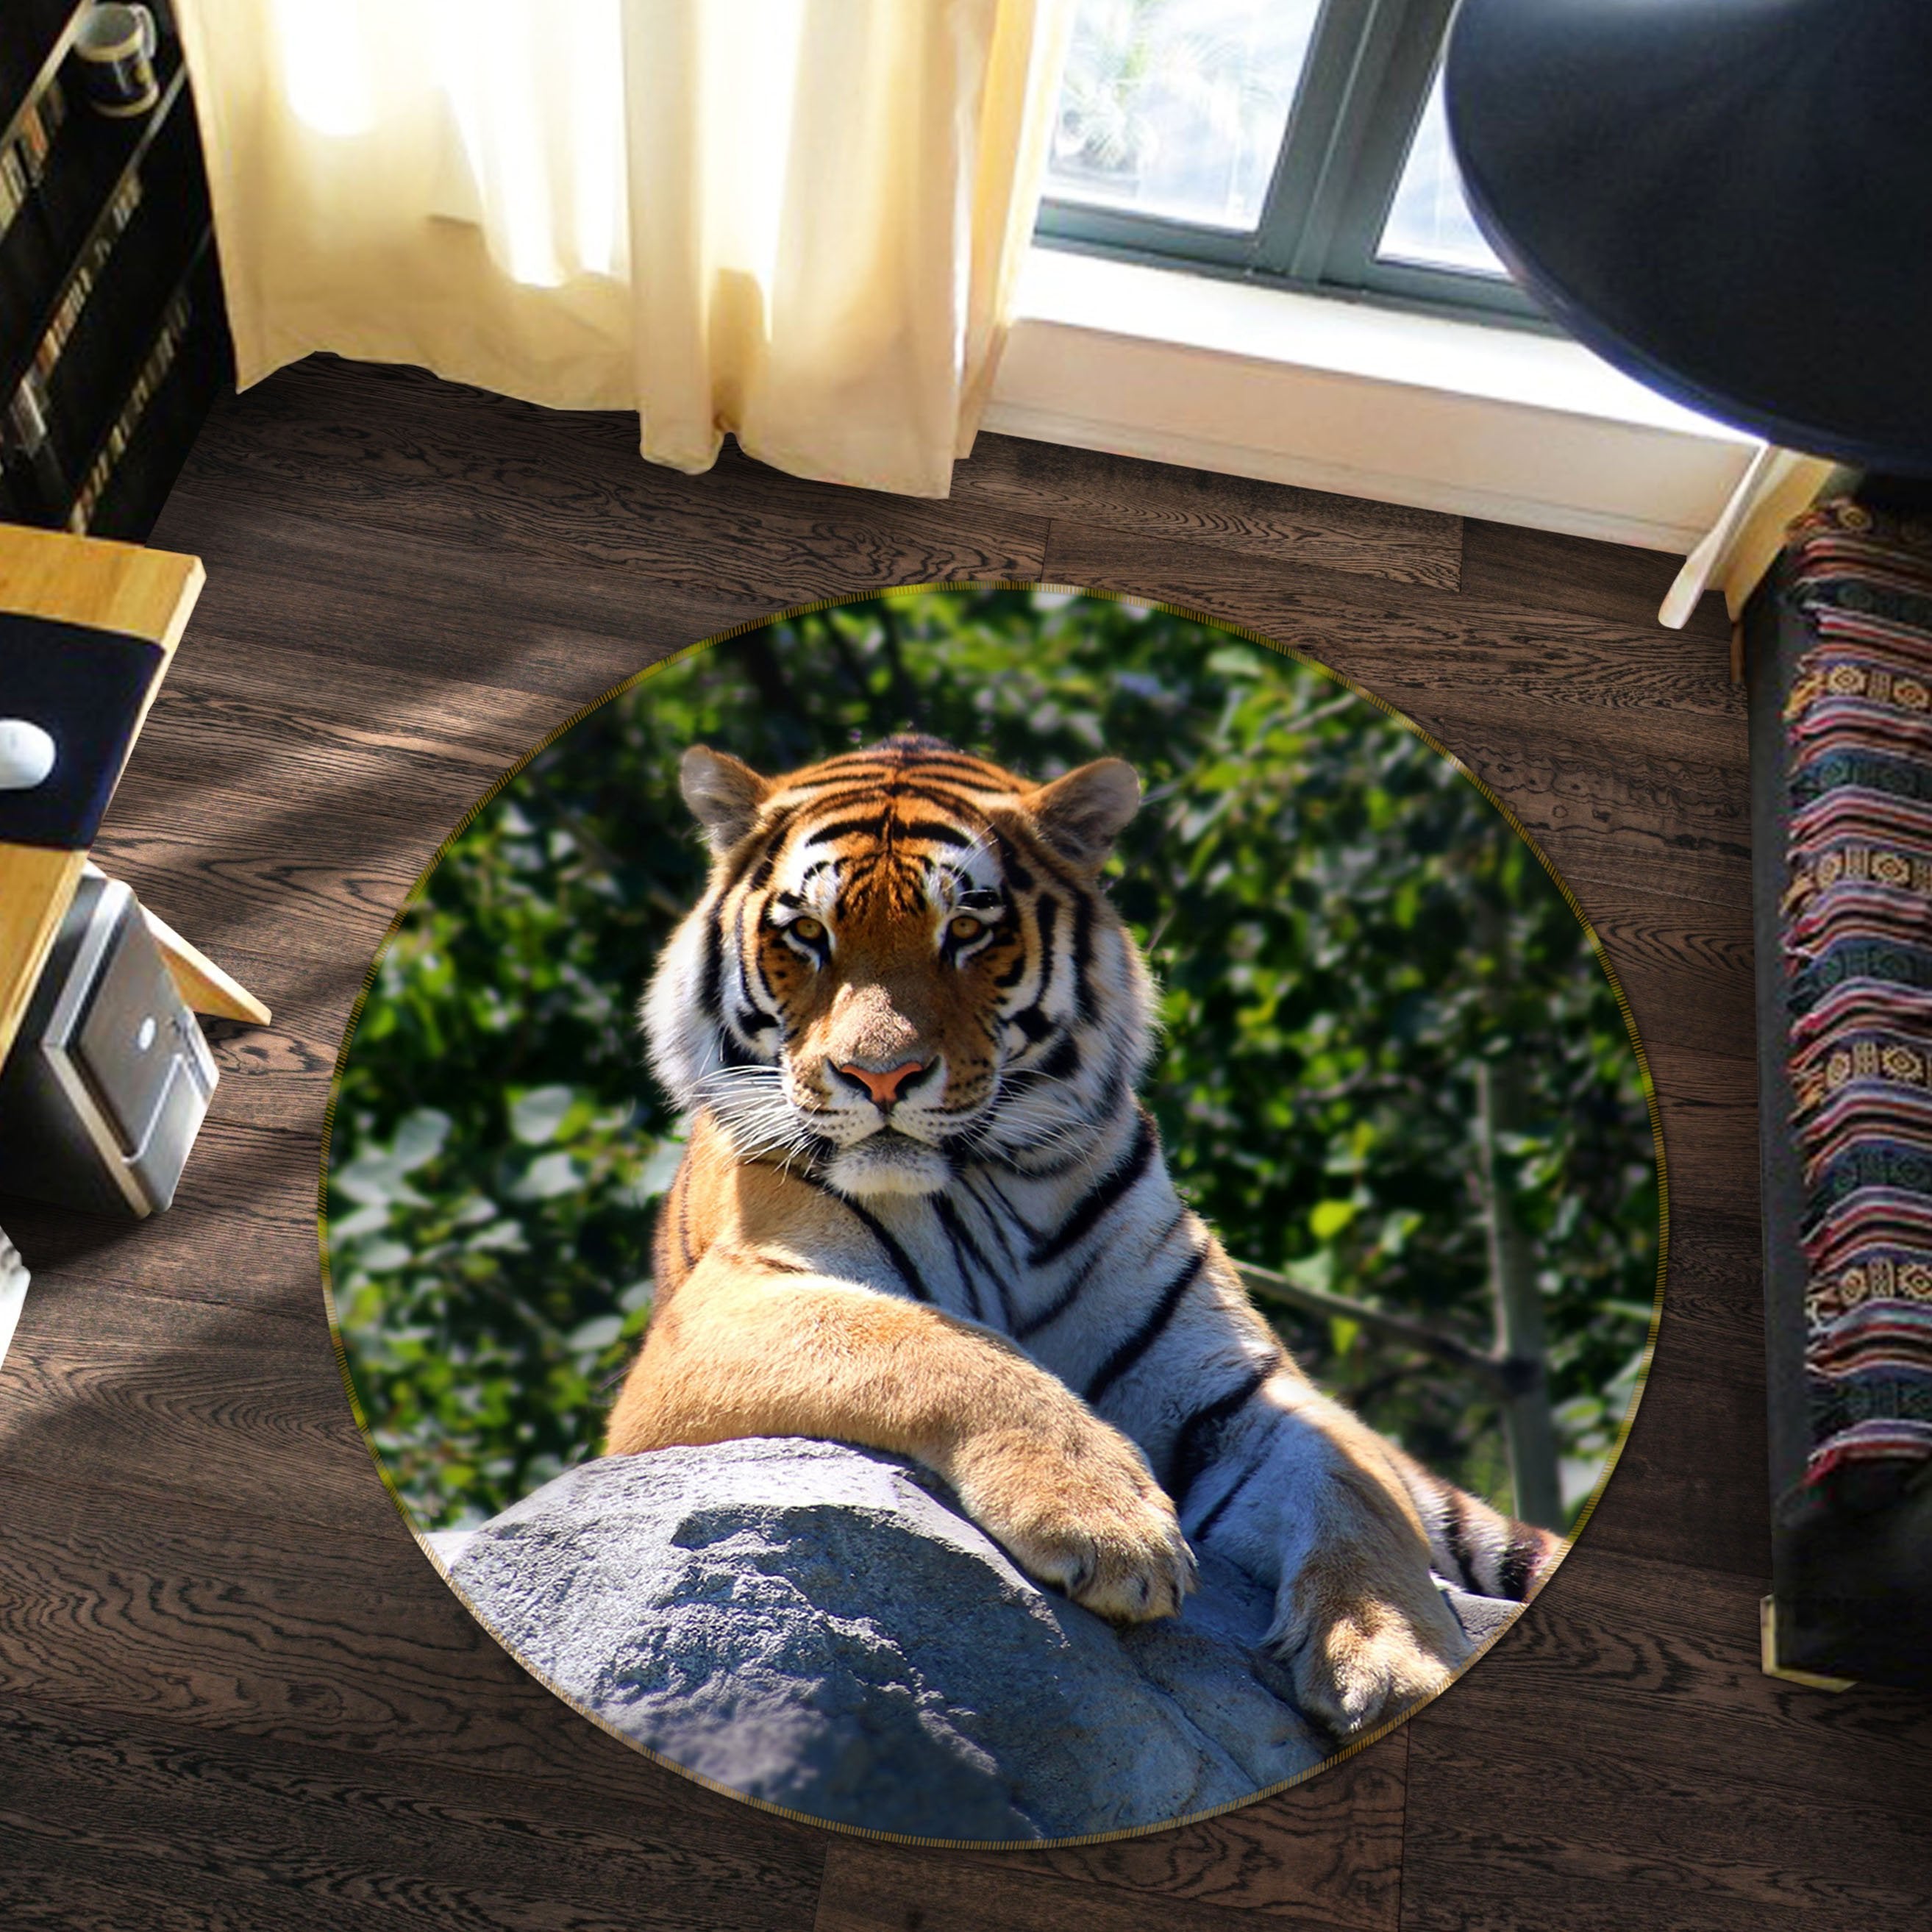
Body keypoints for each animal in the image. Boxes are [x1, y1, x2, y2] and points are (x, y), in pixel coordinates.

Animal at [605, 734, 1561, 1734]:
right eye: (806, 935)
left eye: (966, 931)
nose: (880, 1076)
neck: (1000, 1182)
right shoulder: (718, 1312)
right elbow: (931, 1345)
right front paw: (1108, 1524)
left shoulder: (1240, 1392)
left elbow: (1354, 1493)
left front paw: (1395, 1657)